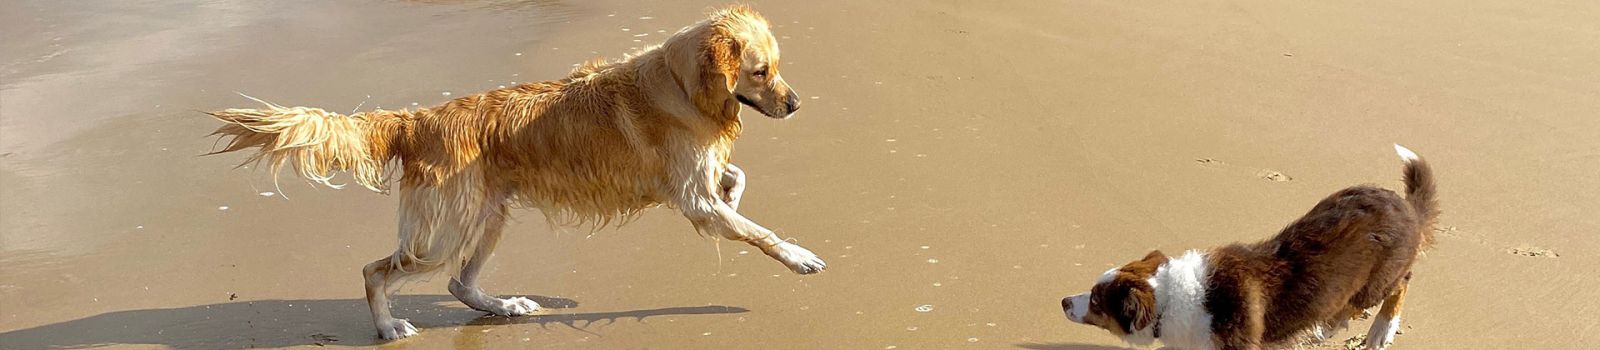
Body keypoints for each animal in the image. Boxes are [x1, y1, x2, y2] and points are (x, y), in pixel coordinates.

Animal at [204, 4, 819, 338]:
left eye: (777, 67)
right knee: (376, 271)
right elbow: (759, 231)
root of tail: (416, 119)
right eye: (761, 72)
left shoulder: (697, 185)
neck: (681, 84)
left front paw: (736, 196)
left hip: (489, 216)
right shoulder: (691, 198)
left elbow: (735, 184)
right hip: (442, 234)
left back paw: (505, 306)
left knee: (459, 282)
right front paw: (799, 256)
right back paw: (387, 327)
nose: (796, 106)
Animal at [1062, 143, 1440, 348]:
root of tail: (1406, 207)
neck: (1170, 300)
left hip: (1375, 283)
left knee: (1400, 285)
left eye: (1096, 301)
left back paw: (1381, 331)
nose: (1064, 301)